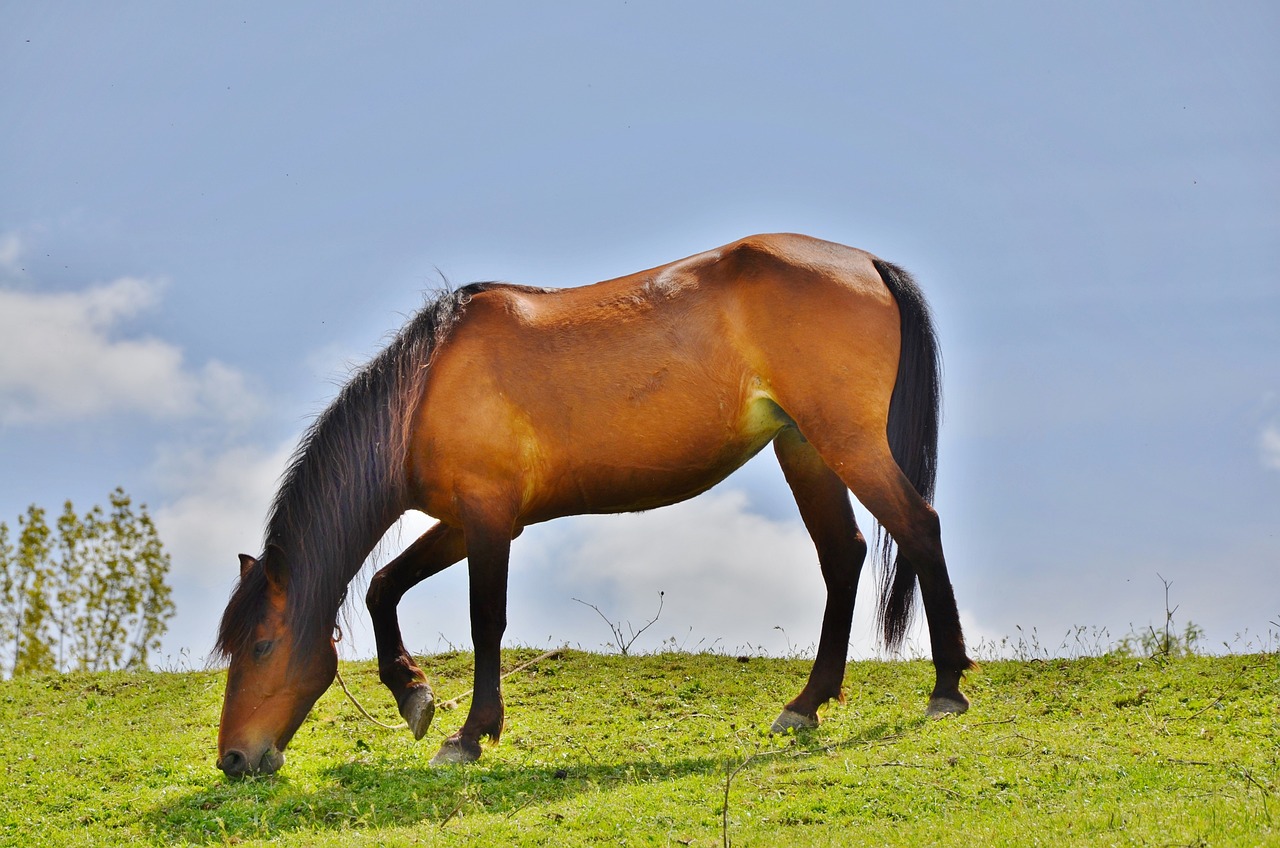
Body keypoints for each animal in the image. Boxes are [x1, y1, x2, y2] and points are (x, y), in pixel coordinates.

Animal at [212, 230, 967, 778]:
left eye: (262, 645)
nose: (234, 759)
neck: (425, 387)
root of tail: (866, 262)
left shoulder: (488, 521)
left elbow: (485, 622)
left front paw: (469, 735)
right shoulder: (464, 520)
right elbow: (382, 589)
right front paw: (414, 695)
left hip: (848, 443)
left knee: (919, 529)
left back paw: (947, 689)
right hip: (805, 447)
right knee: (844, 556)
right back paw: (806, 706)